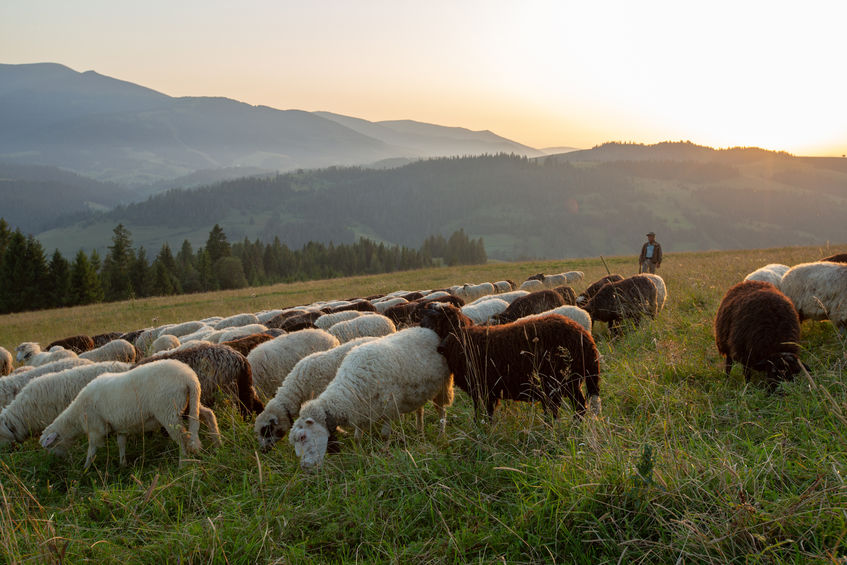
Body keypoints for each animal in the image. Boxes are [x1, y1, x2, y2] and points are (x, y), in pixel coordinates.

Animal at [40, 360, 220, 470]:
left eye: (50, 446)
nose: (57, 461)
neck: (76, 416)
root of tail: (189, 377)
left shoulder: (95, 429)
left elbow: (91, 450)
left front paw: (84, 469)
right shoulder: (120, 426)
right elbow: (121, 444)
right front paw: (123, 463)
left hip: (168, 410)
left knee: (182, 437)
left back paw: (183, 463)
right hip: (189, 404)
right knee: (208, 415)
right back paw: (217, 443)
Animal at [288, 324, 454, 470]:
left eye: (302, 437)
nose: (305, 467)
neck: (350, 390)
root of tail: (426, 330)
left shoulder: (389, 408)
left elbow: (385, 435)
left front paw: (385, 453)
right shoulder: (360, 412)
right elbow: (357, 438)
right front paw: (360, 454)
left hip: (443, 386)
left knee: (442, 412)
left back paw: (441, 434)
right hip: (419, 392)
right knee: (420, 410)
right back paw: (420, 431)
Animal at [420, 304, 600, 418]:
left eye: (434, 319)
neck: (463, 339)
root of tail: (585, 337)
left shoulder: (483, 390)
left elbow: (482, 416)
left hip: (557, 382)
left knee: (559, 409)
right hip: (571, 381)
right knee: (579, 406)